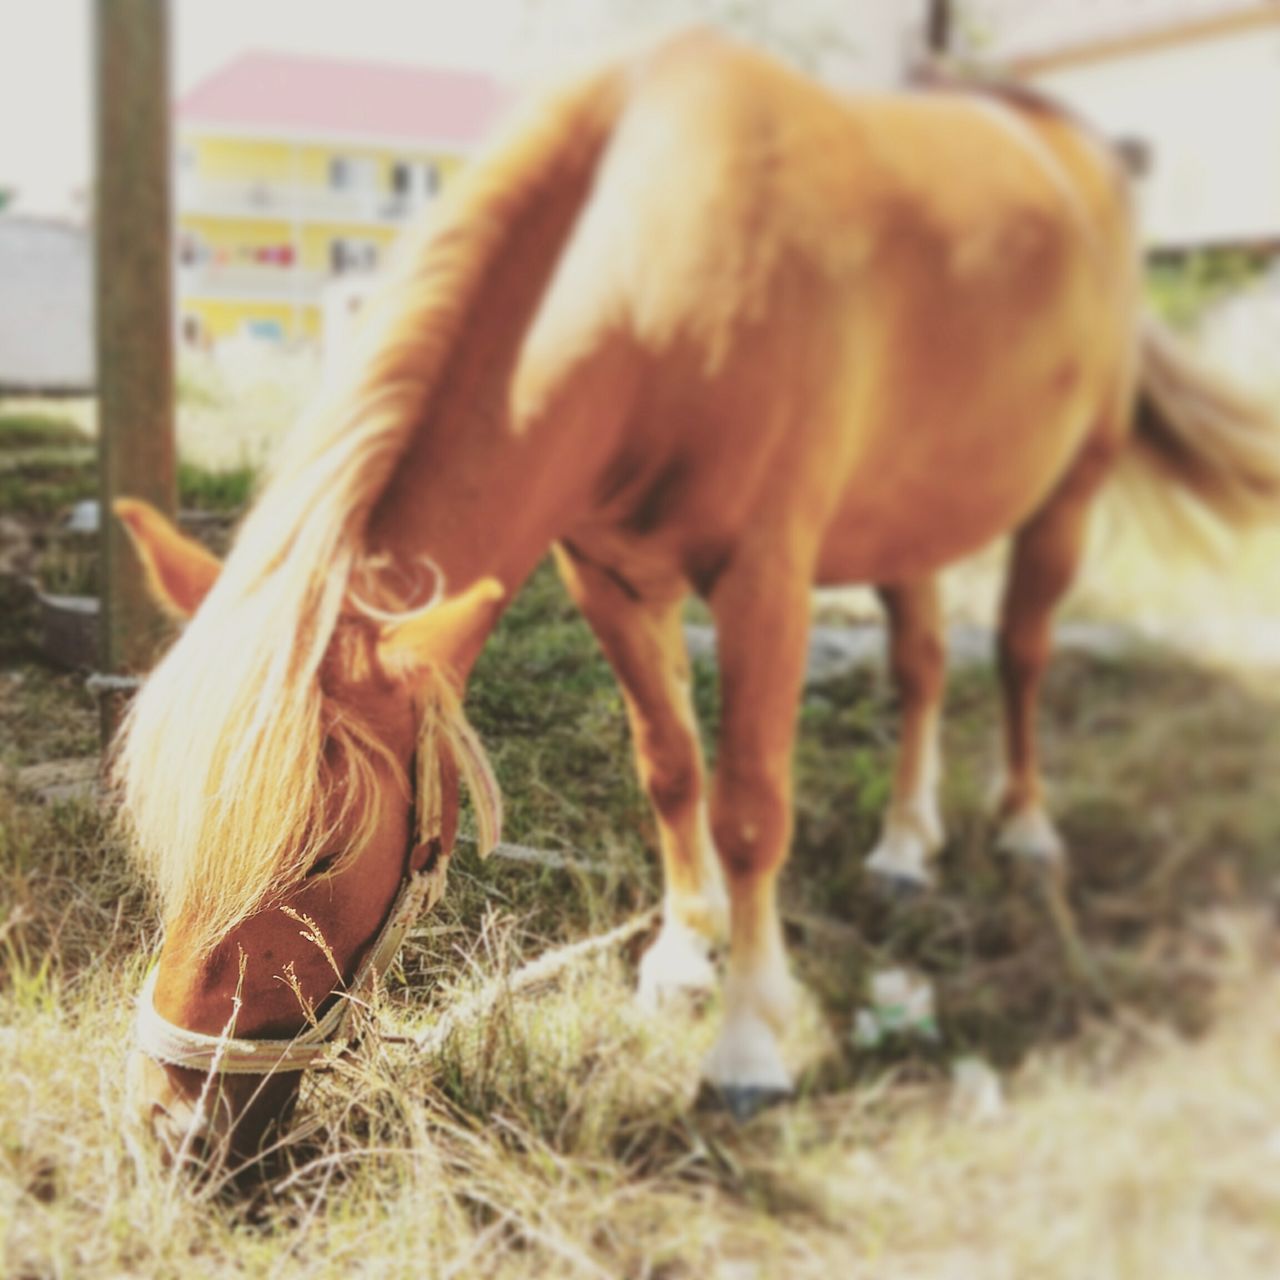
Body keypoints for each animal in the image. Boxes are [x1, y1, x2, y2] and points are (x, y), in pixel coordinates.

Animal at [115, 35, 1280, 1167]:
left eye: (320, 854)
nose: (173, 1127)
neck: (657, 277)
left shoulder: (765, 584)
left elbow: (751, 808)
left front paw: (748, 1045)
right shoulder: (610, 580)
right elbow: (671, 770)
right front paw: (682, 953)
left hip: (1068, 491)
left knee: (1021, 650)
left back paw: (1026, 827)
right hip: (909, 514)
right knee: (922, 665)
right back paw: (905, 845)